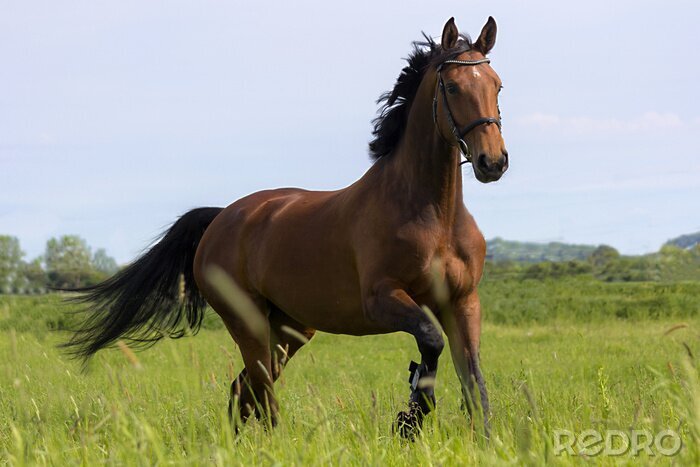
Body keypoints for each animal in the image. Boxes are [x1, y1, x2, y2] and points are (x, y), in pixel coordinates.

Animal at [64, 16, 508, 439]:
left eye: (497, 85)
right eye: (451, 87)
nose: (493, 162)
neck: (435, 216)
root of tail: (221, 218)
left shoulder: (462, 302)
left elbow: (475, 383)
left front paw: (477, 439)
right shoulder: (383, 298)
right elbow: (430, 342)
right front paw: (411, 416)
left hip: (289, 329)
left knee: (242, 389)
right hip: (248, 323)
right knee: (260, 392)